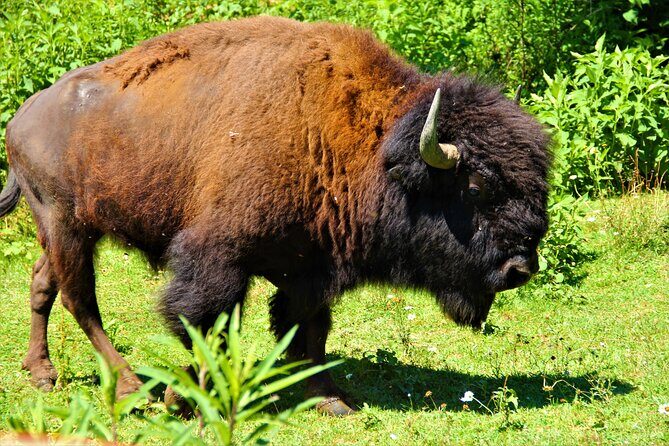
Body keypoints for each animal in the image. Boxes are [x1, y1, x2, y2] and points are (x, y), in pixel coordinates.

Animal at [0, 16, 549, 416]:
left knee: (43, 282)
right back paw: (132, 387)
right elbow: (208, 322)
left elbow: (311, 328)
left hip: (64, 230)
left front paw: (330, 399)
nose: (519, 269)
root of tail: (23, 115)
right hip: (66, 224)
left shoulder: (312, 265)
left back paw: (42, 374)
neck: (366, 144)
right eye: (476, 188)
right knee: (80, 300)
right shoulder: (218, 258)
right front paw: (193, 399)